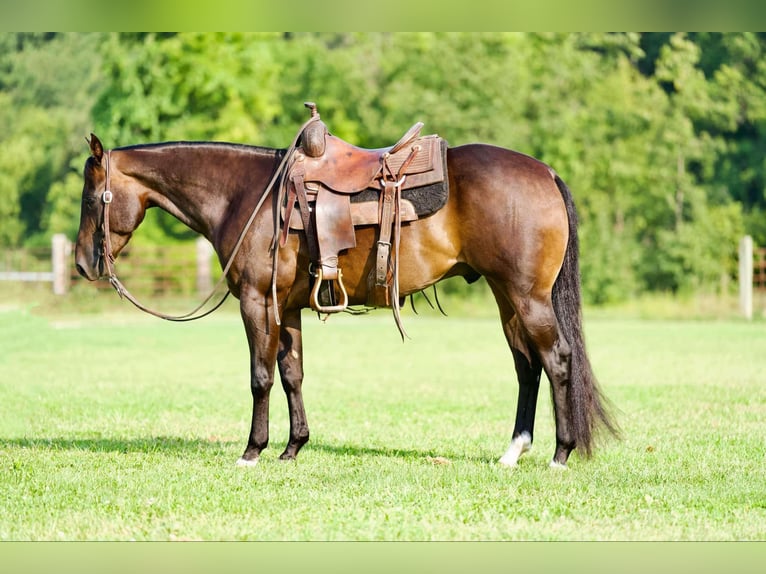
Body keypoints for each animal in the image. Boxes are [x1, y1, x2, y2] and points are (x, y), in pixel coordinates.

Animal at [74, 129, 618, 469]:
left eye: (89, 198)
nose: (82, 263)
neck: (245, 196)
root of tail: (545, 172)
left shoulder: (256, 302)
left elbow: (260, 376)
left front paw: (252, 451)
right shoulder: (287, 307)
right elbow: (291, 374)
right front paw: (292, 448)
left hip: (528, 298)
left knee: (557, 359)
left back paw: (560, 455)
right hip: (507, 298)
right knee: (527, 366)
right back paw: (512, 452)